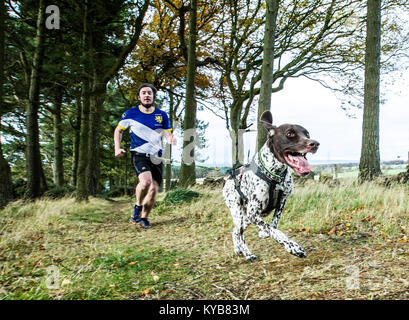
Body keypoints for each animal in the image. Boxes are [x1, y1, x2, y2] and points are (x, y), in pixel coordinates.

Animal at [223, 111, 318, 262]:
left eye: (307, 133)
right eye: (290, 133)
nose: (315, 144)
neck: (274, 174)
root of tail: (228, 178)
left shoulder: (281, 202)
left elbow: (274, 224)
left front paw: (264, 233)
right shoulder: (254, 214)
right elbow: (275, 230)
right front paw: (293, 247)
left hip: (246, 218)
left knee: (235, 231)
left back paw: (238, 249)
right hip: (238, 212)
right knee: (240, 233)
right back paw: (248, 254)